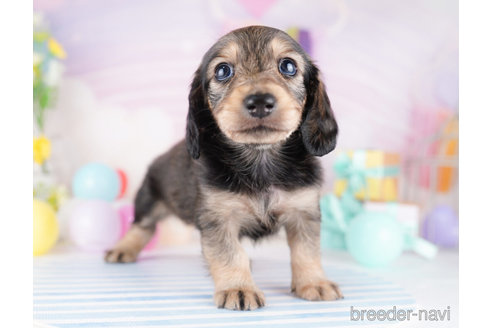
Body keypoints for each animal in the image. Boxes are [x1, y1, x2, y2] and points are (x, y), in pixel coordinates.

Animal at [104, 25, 342, 310]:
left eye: (288, 66)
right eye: (222, 71)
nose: (259, 101)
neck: (260, 160)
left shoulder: (303, 212)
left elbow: (307, 252)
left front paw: (314, 282)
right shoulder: (219, 219)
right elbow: (230, 254)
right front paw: (238, 288)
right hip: (149, 197)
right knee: (141, 226)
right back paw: (123, 248)